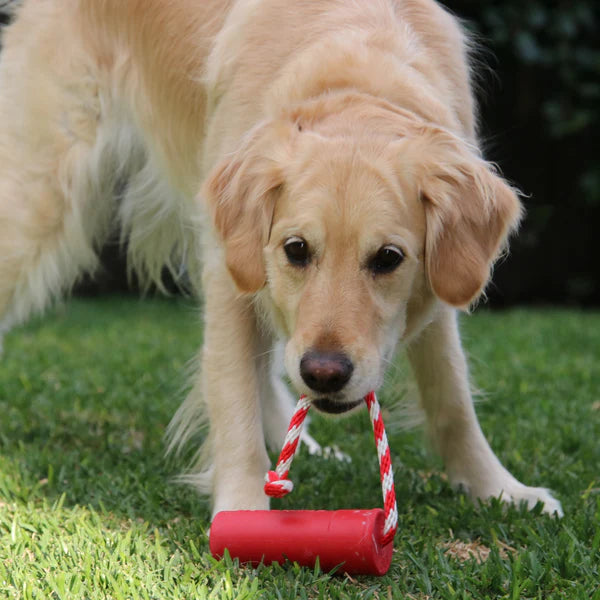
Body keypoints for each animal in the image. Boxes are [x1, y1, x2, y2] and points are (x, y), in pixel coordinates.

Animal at [1, 0, 564, 516]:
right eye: (297, 249)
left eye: (388, 258)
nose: (324, 374)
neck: (357, 71)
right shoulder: (231, 268)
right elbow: (233, 398)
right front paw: (243, 511)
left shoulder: (439, 282)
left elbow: (451, 391)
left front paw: (499, 488)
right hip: (40, 198)